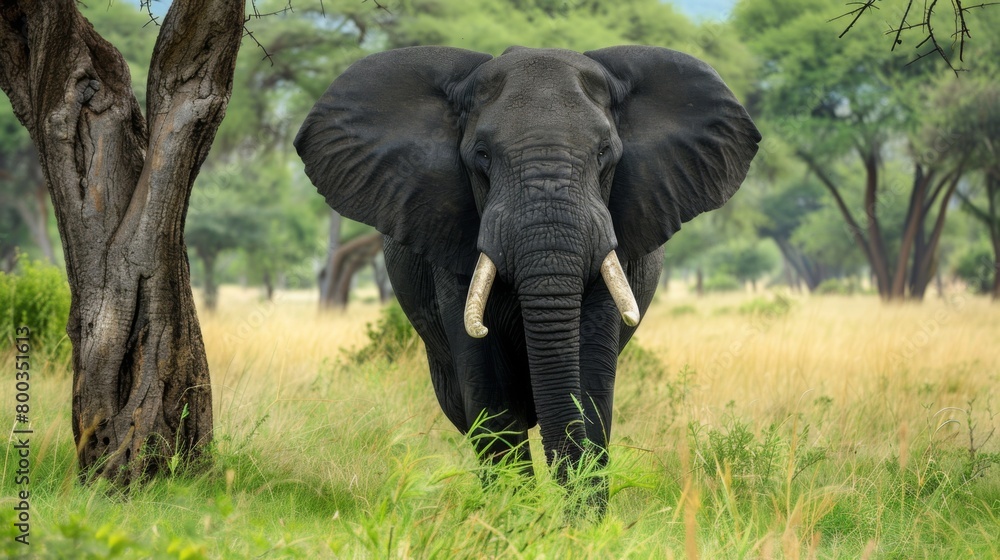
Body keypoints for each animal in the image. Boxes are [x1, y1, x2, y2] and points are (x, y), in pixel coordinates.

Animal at [295, 45, 760, 500]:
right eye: (481, 155)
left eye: (604, 153)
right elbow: (490, 397)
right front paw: (516, 514)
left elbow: (590, 385)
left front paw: (579, 519)